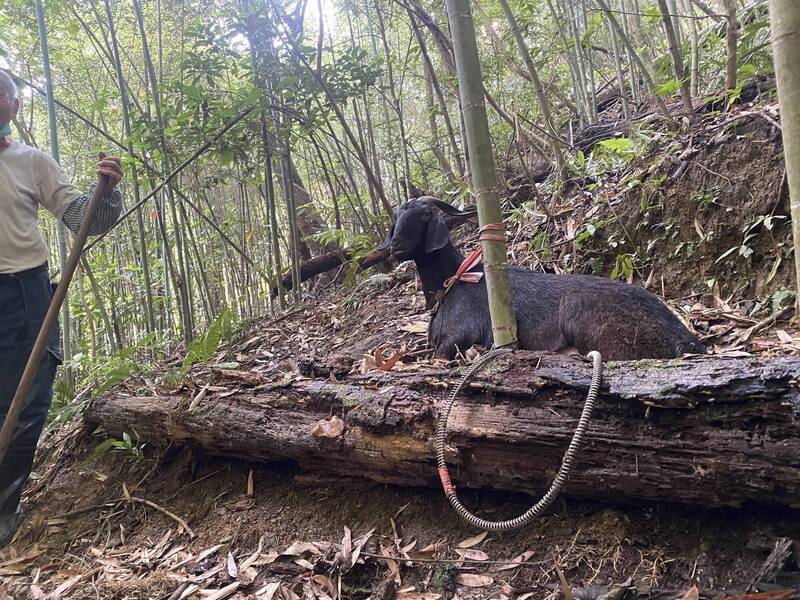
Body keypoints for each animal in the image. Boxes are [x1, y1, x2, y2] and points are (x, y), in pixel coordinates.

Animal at [384, 198, 704, 360]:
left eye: (425, 216)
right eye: (396, 216)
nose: (396, 245)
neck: (453, 281)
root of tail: (686, 339)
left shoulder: (460, 337)